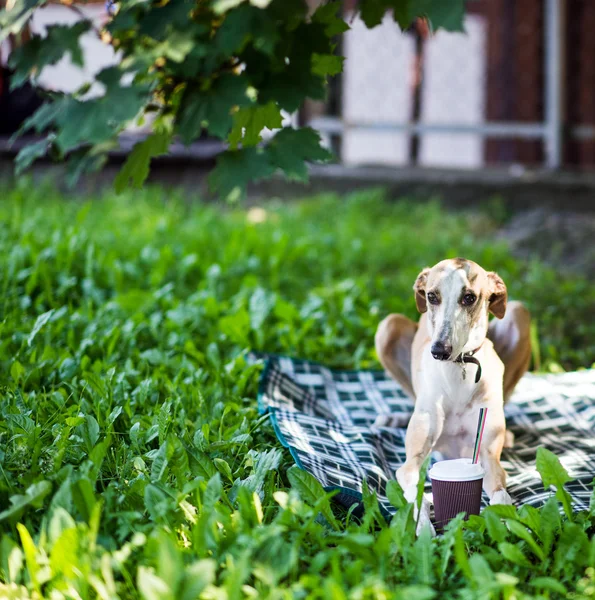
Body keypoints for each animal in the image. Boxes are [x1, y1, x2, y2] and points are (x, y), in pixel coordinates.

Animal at [374, 258, 532, 536]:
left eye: (469, 297)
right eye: (431, 296)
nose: (439, 350)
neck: (459, 370)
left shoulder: (488, 457)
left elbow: (501, 495)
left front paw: (504, 522)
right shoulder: (410, 465)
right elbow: (418, 496)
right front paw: (423, 528)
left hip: (518, 312)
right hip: (387, 328)